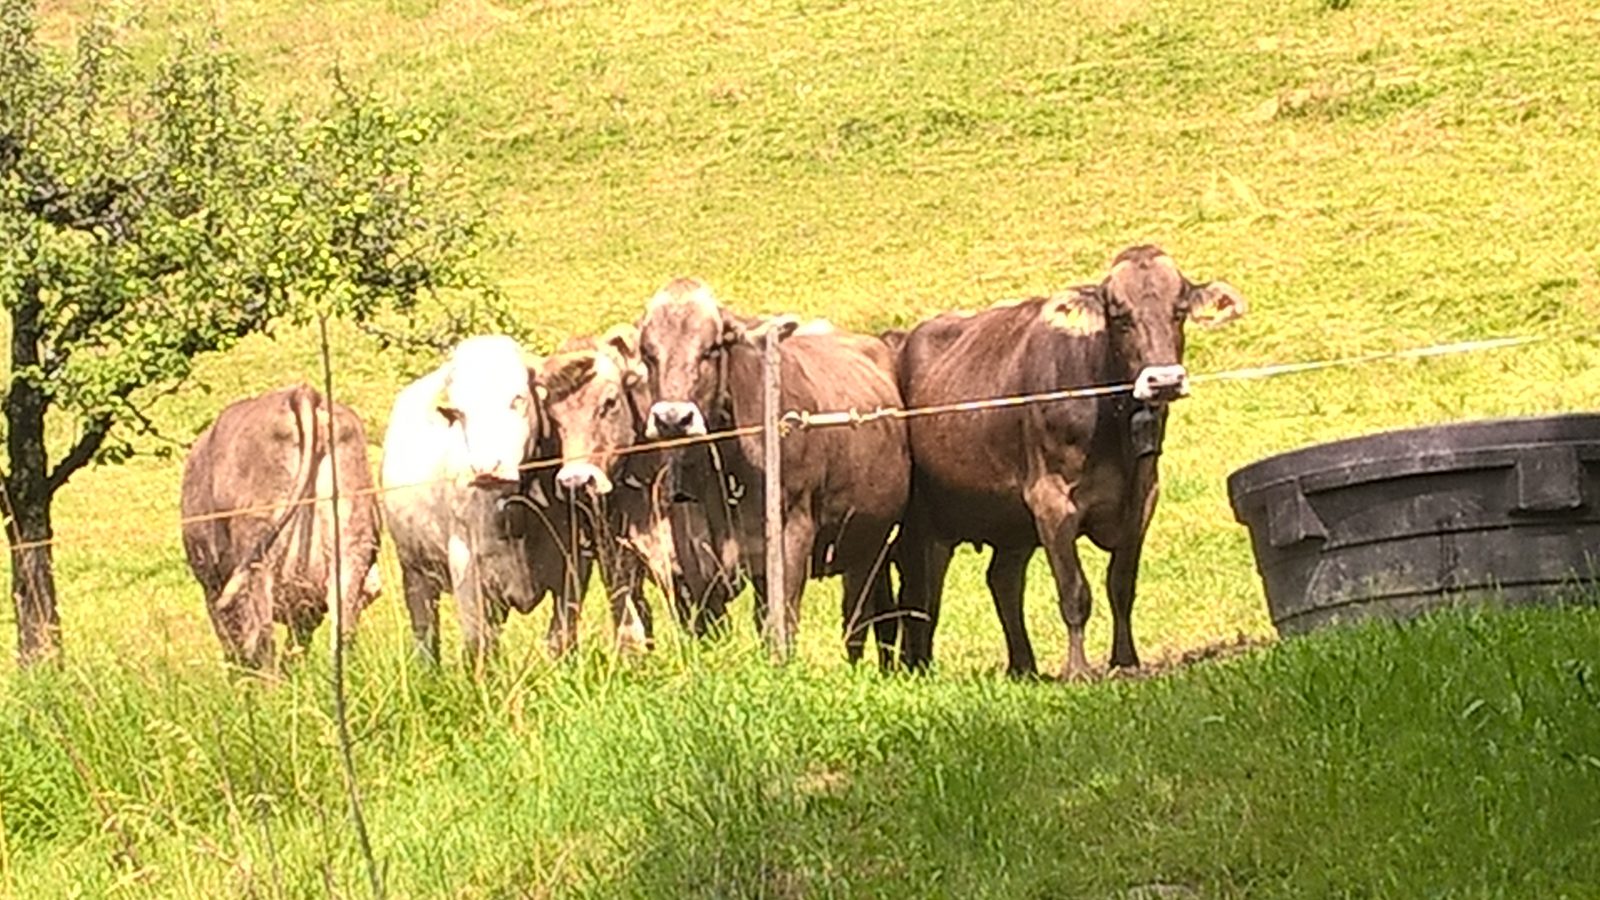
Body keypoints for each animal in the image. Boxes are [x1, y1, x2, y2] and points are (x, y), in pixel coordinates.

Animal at [180, 384, 382, 671]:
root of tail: (303, 392)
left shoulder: (212, 587)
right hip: (351, 547)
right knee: (342, 631)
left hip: (257, 560)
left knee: (260, 638)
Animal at [380, 335, 590, 668]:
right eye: (459, 413)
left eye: (517, 399)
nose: (486, 469)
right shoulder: (467, 569)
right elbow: (479, 645)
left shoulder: (573, 566)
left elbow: (562, 638)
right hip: (414, 569)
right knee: (425, 631)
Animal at [637, 278, 909, 664]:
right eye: (647, 353)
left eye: (712, 348)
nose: (673, 418)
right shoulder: (692, 549)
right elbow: (712, 628)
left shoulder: (791, 532)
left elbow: (780, 623)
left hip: (870, 542)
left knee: (858, 619)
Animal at [894, 245, 1246, 678]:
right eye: (1119, 316)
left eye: (1178, 311)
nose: (1164, 381)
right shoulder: (1051, 499)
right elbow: (1074, 591)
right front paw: (1078, 670)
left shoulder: (1143, 496)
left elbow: (1121, 585)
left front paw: (1125, 660)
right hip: (922, 518)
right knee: (920, 590)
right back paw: (917, 666)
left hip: (1009, 519)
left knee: (1002, 580)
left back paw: (1023, 667)